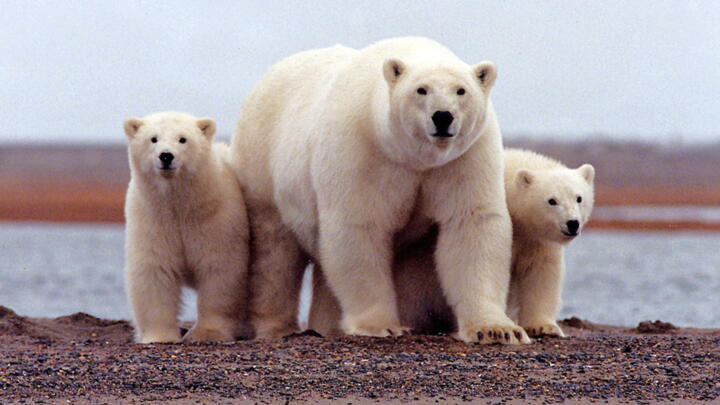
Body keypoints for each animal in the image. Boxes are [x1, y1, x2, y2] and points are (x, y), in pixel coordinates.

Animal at [123, 111, 249, 344]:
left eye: (183, 139)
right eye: (153, 138)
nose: (166, 156)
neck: (181, 206)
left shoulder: (216, 220)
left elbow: (219, 270)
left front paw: (207, 333)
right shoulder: (153, 219)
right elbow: (155, 271)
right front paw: (160, 336)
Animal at [231, 36, 529, 344]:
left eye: (461, 90)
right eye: (421, 89)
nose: (443, 117)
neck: (413, 157)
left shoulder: (464, 157)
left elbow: (471, 223)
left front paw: (496, 329)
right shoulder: (362, 150)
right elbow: (360, 226)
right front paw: (381, 325)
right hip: (263, 164)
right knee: (275, 252)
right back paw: (276, 327)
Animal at [309, 148, 595, 338]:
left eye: (579, 197)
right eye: (551, 200)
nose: (572, 223)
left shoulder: (535, 240)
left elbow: (541, 273)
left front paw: (543, 326)